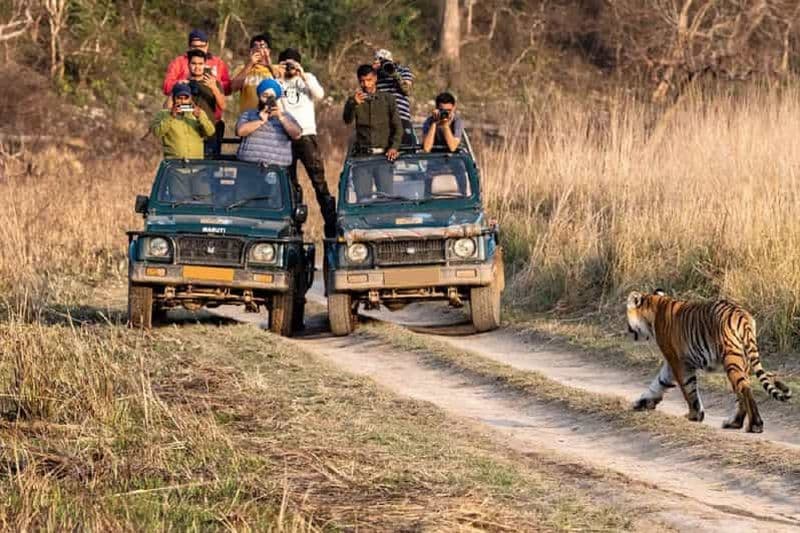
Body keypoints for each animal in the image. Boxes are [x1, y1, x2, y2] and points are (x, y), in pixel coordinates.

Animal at [626, 289, 791, 433]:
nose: (627, 329)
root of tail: (742, 314)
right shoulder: (673, 362)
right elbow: (660, 382)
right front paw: (642, 402)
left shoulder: (678, 361)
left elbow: (688, 389)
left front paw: (694, 415)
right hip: (742, 361)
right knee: (742, 390)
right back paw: (734, 423)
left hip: (731, 358)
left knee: (744, 388)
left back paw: (754, 425)